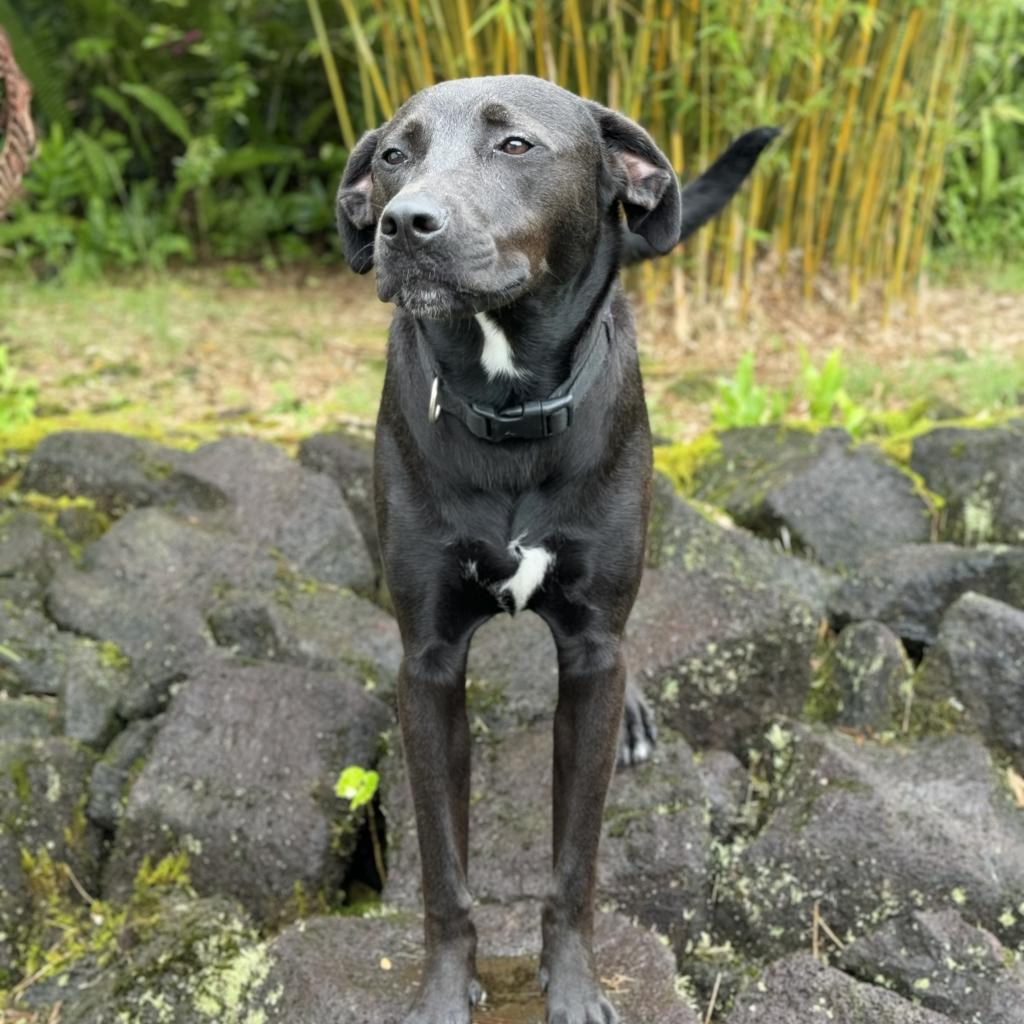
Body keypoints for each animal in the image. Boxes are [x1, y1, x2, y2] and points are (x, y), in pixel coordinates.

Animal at [337, 75, 774, 1019]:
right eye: (393, 155)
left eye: (515, 147)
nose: (404, 224)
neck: (508, 406)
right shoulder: (429, 664)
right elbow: (445, 872)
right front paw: (443, 991)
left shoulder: (590, 648)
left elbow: (577, 861)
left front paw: (573, 986)